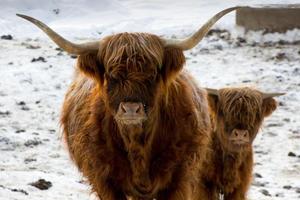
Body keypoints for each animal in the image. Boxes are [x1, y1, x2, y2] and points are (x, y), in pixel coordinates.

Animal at [18, 7, 239, 199]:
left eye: (153, 74)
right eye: (111, 75)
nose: (131, 109)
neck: (138, 143)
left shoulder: (178, 178)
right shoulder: (104, 180)